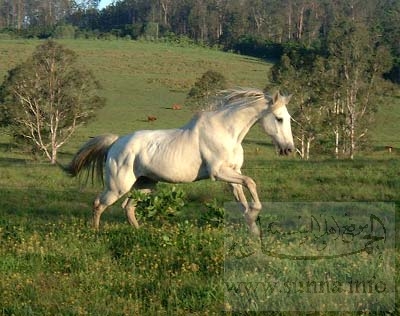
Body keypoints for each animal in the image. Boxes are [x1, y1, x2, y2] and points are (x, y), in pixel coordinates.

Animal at [65, 87, 294, 236]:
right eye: (279, 118)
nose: (289, 149)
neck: (226, 132)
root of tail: (115, 143)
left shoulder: (232, 174)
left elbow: (244, 198)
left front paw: (253, 231)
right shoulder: (219, 172)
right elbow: (251, 183)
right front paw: (255, 216)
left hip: (146, 185)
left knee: (128, 207)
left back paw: (141, 233)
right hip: (117, 186)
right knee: (99, 204)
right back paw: (95, 233)